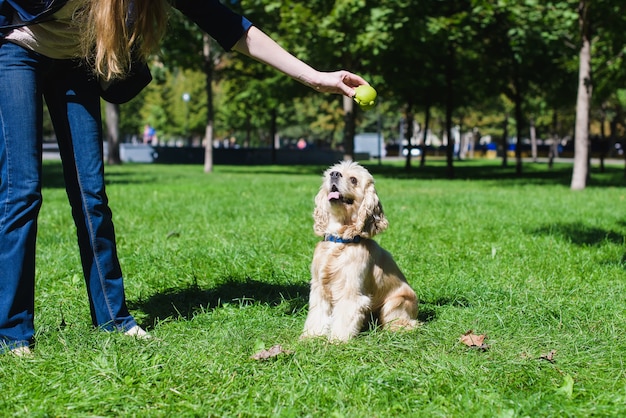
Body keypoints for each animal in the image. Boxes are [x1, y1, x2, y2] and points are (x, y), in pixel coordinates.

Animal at [300, 162, 416, 342]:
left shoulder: (350, 291)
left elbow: (344, 317)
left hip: (396, 302)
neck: (339, 239)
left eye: (353, 179)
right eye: (331, 173)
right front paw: (311, 337)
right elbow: (317, 315)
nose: (334, 174)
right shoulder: (319, 288)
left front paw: (337, 341)